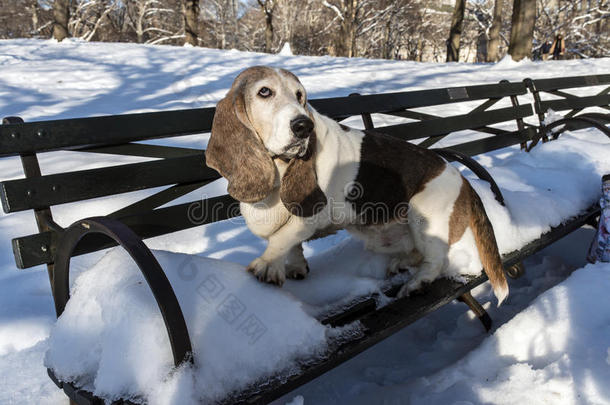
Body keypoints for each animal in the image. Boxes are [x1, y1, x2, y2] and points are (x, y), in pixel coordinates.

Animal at [205, 65, 508, 304]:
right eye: (264, 92)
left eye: (300, 96)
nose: (303, 126)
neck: (279, 168)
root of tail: (464, 180)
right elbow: (290, 242)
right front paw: (293, 266)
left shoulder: (314, 213)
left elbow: (284, 236)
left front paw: (268, 264)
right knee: (416, 254)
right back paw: (401, 263)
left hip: (423, 215)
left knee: (435, 261)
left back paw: (416, 283)